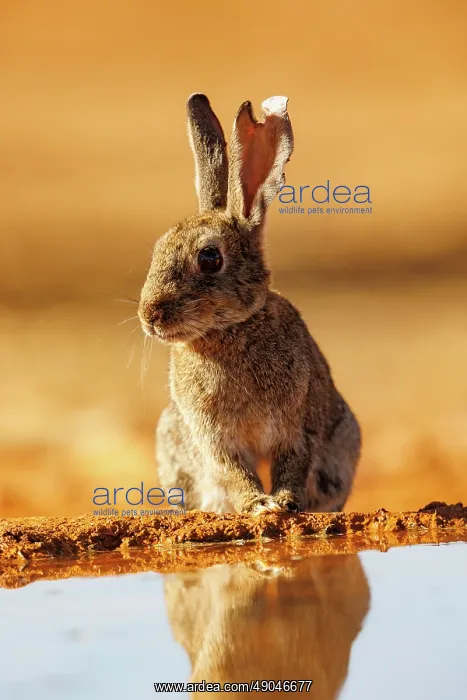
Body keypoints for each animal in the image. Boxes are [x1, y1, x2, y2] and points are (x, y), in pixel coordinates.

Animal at [138, 93, 361, 515]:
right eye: (157, 249)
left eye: (210, 258)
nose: (149, 316)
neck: (231, 331)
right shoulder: (215, 440)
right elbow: (233, 471)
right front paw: (258, 505)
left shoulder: (298, 426)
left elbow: (293, 464)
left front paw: (284, 503)